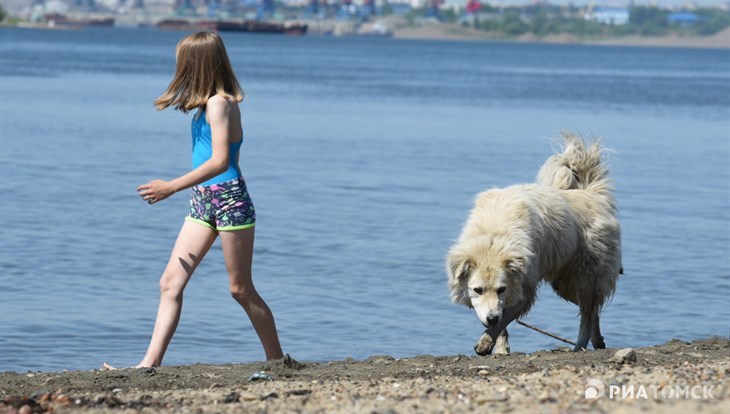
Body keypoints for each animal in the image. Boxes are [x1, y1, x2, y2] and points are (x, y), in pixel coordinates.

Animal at [444, 134, 620, 354]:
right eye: (478, 290)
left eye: (501, 289)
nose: (491, 319)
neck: (494, 238)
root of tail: (593, 194)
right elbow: (503, 321)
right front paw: (500, 348)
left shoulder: (525, 290)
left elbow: (505, 318)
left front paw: (486, 341)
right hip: (566, 282)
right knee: (594, 308)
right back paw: (598, 342)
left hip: (583, 278)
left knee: (587, 315)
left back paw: (579, 346)